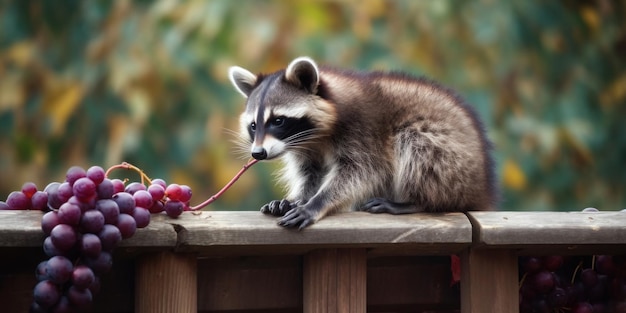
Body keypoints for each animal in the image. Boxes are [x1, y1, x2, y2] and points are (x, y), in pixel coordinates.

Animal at [227, 56, 494, 228]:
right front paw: (298, 198)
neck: (316, 136)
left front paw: (317, 203)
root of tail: (481, 190)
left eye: (278, 121)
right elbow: (311, 173)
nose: (258, 153)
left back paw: (417, 202)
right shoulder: (306, 149)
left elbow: (362, 172)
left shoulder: (363, 131)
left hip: (450, 157)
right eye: (254, 126)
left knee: (416, 145)